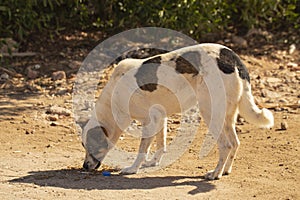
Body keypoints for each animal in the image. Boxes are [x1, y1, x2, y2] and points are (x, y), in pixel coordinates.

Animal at [81, 43, 274, 180]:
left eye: (91, 146)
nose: (84, 166)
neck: (113, 100)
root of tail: (231, 56)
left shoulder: (150, 121)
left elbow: (142, 150)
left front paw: (133, 169)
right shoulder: (160, 118)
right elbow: (161, 144)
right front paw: (153, 162)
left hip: (209, 112)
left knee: (225, 145)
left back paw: (215, 174)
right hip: (227, 116)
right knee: (235, 143)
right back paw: (226, 170)